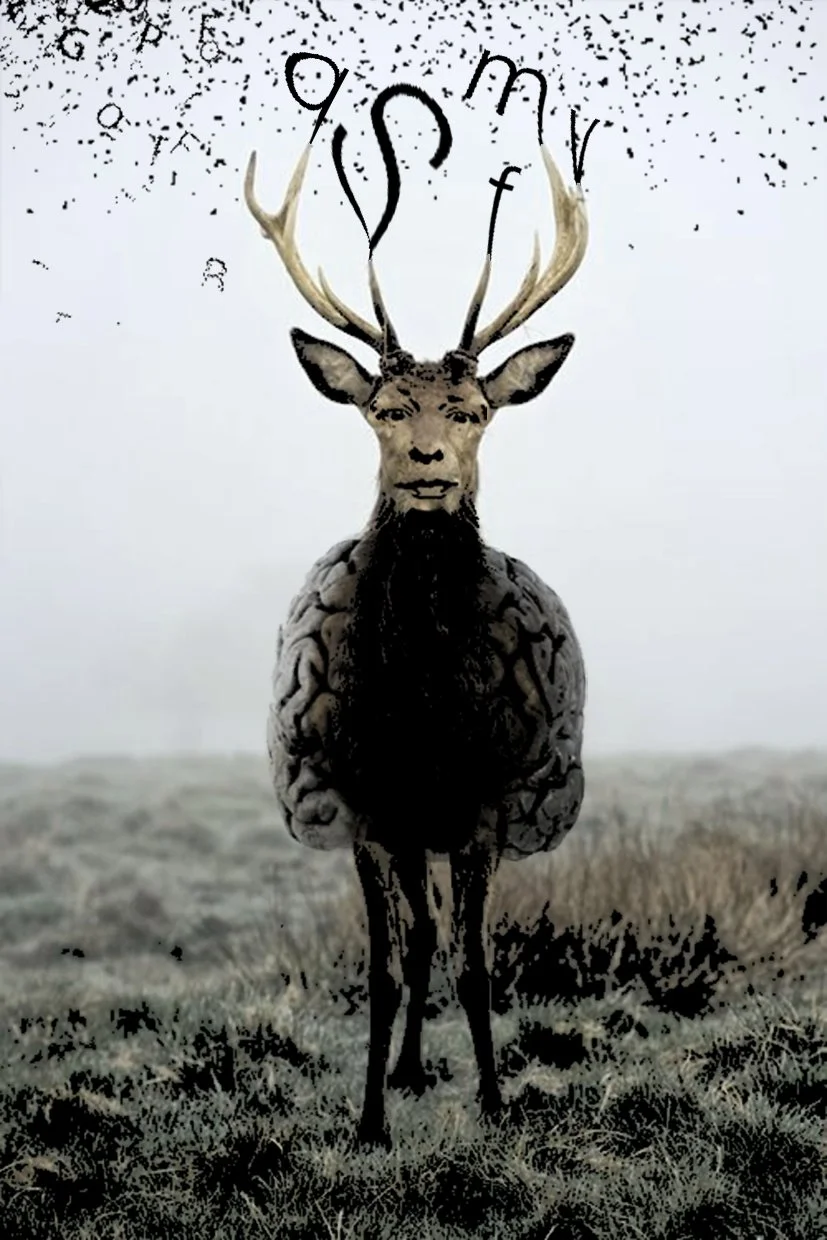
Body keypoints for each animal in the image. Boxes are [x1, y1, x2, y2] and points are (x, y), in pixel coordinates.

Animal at [244, 137, 588, 1150]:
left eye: (473, 410)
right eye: (385, 409)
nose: (429, 466)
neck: (426, 714)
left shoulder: (484, 805)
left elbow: (477, 963)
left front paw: (494, 1105)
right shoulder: (366, 807)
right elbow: (385, 968)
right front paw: (367, 1123)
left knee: (443, 938)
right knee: (418, 938)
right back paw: (399, 1071)